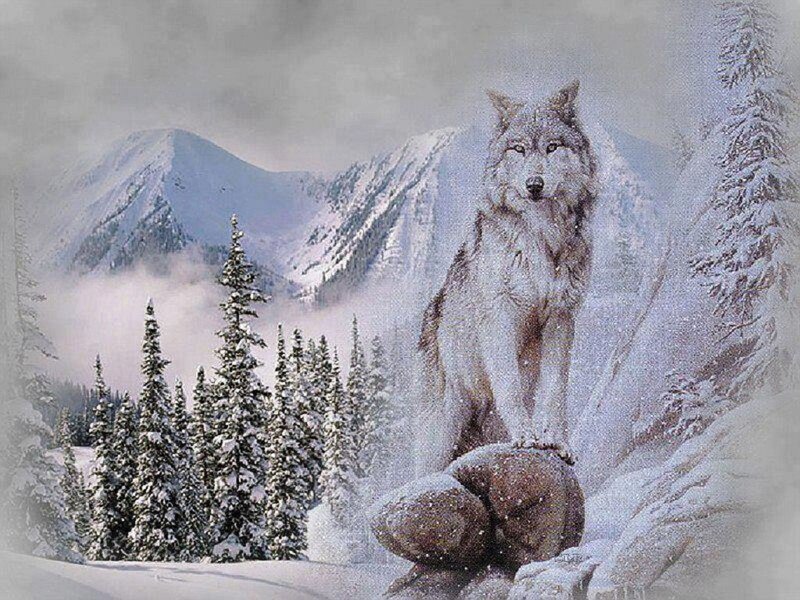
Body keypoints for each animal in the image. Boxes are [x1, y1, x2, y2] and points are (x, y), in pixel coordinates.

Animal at [415, 81, 597, 475]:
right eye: (518, 149)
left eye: (552, 147)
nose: (534, 184)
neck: (541, 236)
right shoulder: (500, 316)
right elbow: (510, 385)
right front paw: (528, 437)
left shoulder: (561, 317)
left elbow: (555, 390)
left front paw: (555, 442)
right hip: (441, 431)